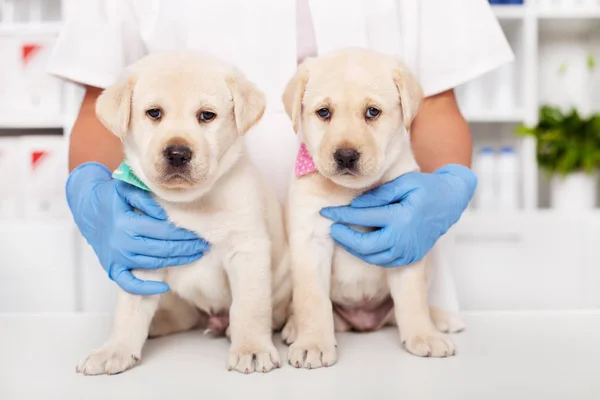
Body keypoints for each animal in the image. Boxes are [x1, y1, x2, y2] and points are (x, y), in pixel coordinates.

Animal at [76, 52, 292, 376]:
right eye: (154, 113)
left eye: (207, 116)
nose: (177, 153)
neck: (190, 202)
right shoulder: (143, 256)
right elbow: (129, 310)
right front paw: (114, 349)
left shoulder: (247, 250)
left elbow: (249, 306)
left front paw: (252, 348)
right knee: (180, 316)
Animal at [284, 47, 458, 368]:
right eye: (324, 112)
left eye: (372, 112)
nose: (345, 155)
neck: (351, 192)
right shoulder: (309, 241)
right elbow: (312, 300)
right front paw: (312, 342)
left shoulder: (405, 239)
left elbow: (412, 298)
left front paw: (424, 336)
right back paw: (293, 326)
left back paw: (440, 319)